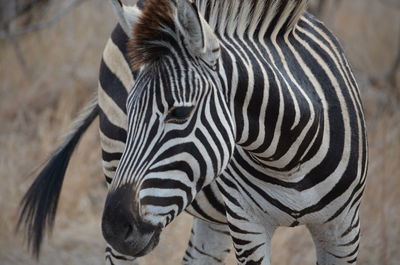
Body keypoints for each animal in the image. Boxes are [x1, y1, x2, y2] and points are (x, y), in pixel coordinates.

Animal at [18, 0, 368, 264]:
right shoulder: (248, 226)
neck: (287, 157)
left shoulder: (343, 229)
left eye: (180, 113)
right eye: (130, 110)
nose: (116, 227)